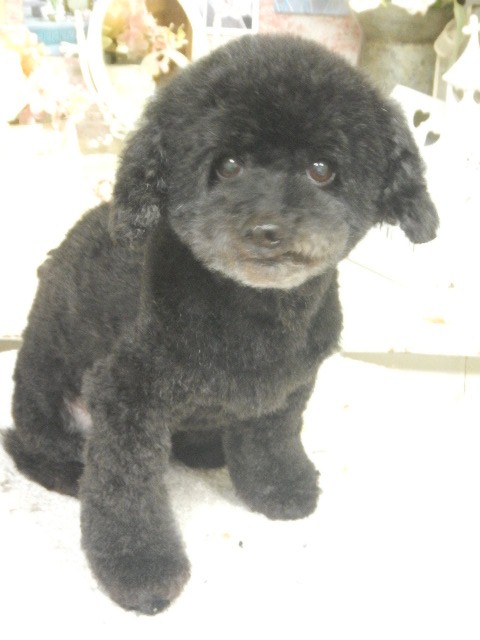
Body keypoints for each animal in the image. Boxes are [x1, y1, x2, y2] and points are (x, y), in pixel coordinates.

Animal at [4, 34, 439, 614]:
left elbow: (272, 441)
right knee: (28, 446)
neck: (256, 313)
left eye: (322, 169)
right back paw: (71, 474)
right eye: (228, 165)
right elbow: (125, 489)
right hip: (48, 398)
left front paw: (281, 488)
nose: (268, 229)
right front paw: (140, 568)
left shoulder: (286, 389)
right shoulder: (124, 398)